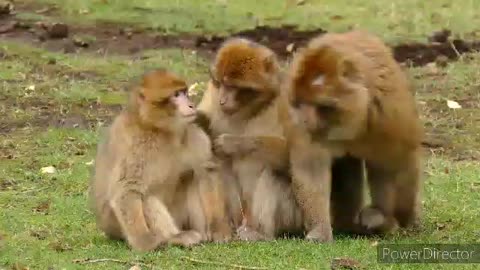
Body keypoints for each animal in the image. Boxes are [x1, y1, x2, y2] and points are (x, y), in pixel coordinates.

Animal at [90, 68, 234, 251]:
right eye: (176, 95)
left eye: (185, 93)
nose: (191, 105)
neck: (161, 130)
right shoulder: (134, 144)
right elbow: (127, 189)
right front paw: (144, 241)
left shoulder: (192, 132)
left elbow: (205, 172)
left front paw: (218, 228)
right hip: (115, 226)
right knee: (146, 196)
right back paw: (175, 237)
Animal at [198, 37, 304, 240]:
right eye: (221, 83)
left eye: (233, 86)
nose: (222, 100)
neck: (245, 111)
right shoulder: (211, 92)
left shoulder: (285, 98)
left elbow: (294, 155)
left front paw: (232, 143)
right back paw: (223, 228)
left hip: (292, 215)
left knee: (273, 172)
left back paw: (259, 233)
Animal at [284, 30, 424, 240]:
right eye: (300, 102)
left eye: (322, 106)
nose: (305, 122)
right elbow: (311, 169)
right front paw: (320, 231)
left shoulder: (387, 115)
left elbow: (393, 163)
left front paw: (392, 219)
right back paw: (347, 223)